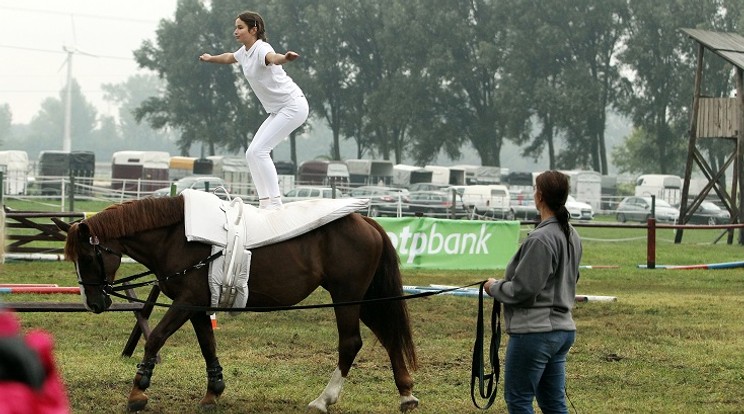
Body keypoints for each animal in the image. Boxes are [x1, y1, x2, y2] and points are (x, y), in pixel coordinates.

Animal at [57, 196, 416, 412]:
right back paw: (406, 395)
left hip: (347, 296)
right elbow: (208, 345)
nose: (94, 303)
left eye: (88, 258)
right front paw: (213, 391)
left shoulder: (187, 302)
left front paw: (138, 392)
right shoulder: (198, 305)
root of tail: (365, 221)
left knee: (351, 342)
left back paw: (323, 400)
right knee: (388, 336)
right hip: (365, 297)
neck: (176, 237)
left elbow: (156, 338)